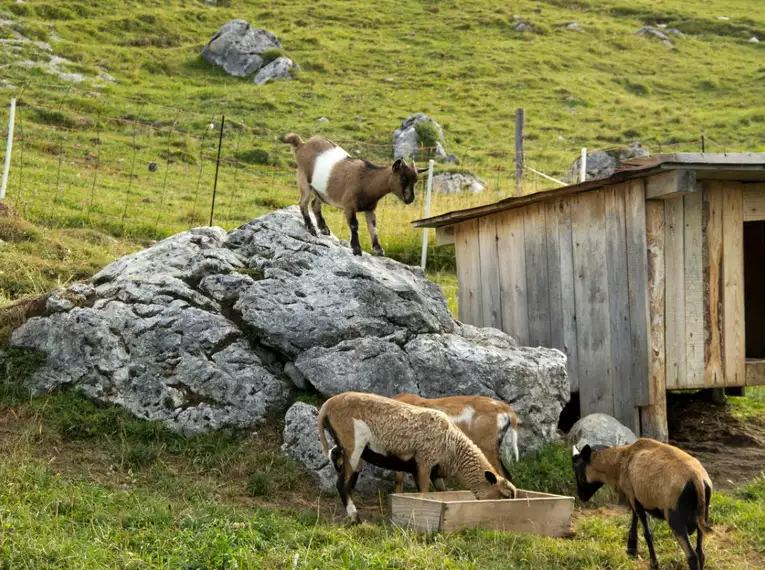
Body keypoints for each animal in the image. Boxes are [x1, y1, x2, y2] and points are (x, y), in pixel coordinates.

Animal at [282, 132, 424, 256]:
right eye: (402, 178)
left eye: (416, 180)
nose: (410, 199)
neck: (366, 180)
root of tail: (302, 145)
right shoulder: (349, 205)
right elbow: (354, 225)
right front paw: (356, 248)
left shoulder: (370, 208)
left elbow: (373, 227)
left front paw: (378, 250)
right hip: (303, 179)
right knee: (303, 202)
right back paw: (311, 228)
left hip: (323, 191)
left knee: (315, 203)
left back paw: (323, 228)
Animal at [314, 390, 516, 520]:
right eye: (504, 496)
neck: (454, 447)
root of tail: (327, 405)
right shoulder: (424, 464)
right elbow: (423, 493)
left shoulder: (431, 471)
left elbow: (441, 493)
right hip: (354, 444)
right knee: (342, 483)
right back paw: (355, 517)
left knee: (343, 471)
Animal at [572, 438, 712, 564]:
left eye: (579, 472)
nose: (581, 496)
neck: (620, 462)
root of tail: (697, 479)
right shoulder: (635, 496)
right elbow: (634, 517)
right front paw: (632, 548)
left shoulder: (632, 495)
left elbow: (647, 533)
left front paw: (653, 563)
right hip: (702, 515)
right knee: (701, 554)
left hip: (675, 518)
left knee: (692, 556)